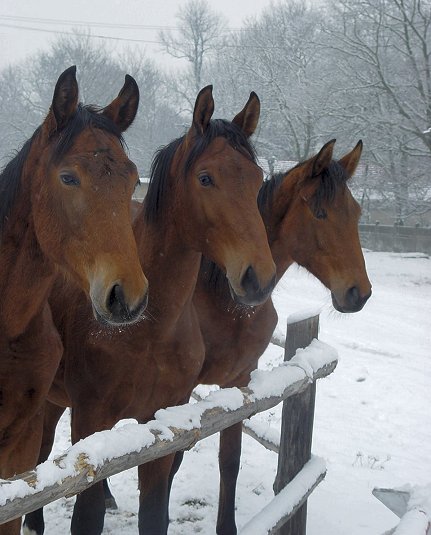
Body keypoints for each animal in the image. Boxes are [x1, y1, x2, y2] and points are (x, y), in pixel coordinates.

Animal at [22, 86, 276, 532]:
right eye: (206, 178)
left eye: (256, 179)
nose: (258, 278)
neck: (150, 329)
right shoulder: (91, 422)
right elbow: (85, 515)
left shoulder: (163, 425)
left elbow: (155, 513)